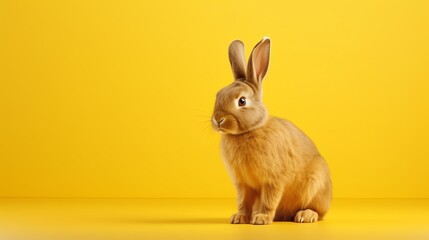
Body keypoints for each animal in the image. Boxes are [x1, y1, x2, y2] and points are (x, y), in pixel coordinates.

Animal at [211, 36, 332, 224]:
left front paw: (262, 219)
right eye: (218, 95)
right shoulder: (243, 184)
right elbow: (243, 202)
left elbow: (269, 200)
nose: (218, 120)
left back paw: (305, 216)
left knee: (317, 211)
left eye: (242, 101)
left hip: (317, 185)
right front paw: (239, 218)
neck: (250, 130)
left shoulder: (273, 180)